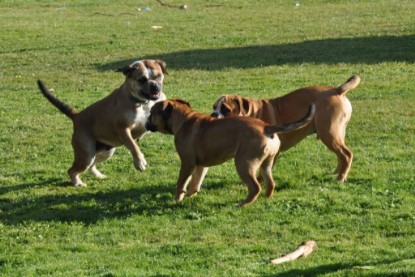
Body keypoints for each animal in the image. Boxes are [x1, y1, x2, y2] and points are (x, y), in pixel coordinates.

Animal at [37, 59, 167, 187]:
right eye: (142, 80)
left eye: (158, 76)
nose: (155, 86)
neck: (142, 102)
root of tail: (77, 116)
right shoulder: (123, 129)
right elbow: (133, 146)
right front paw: (140, 162)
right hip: (86, 155)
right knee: (72, 170)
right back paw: (78, 183)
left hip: (106, 152)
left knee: (91, 165)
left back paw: (99, 176)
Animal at [146, 98, 316, 205]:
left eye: (151, 113)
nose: (146, 122)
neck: (183, 119)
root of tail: (266, 127)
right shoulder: (201, 165)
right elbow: (195, 181)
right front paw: (191, 195)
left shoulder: (187, 163)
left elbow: (181, 182)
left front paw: (177, 199)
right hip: (266, 164)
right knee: (270, 183)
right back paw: (266, 199)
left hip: (243, 163)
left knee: (255, 187)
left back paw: (243, 204)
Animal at [211, 75, 360, 181]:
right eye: (214, 107)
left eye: (226, 110)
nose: (213, 114)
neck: (252, 113)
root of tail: (337, 90)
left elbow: (264, 168)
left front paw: (260, 180)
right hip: (336, 134)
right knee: (340, 155)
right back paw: (336, 172)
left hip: (329, 133)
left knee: (346, 154)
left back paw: (340, 177)